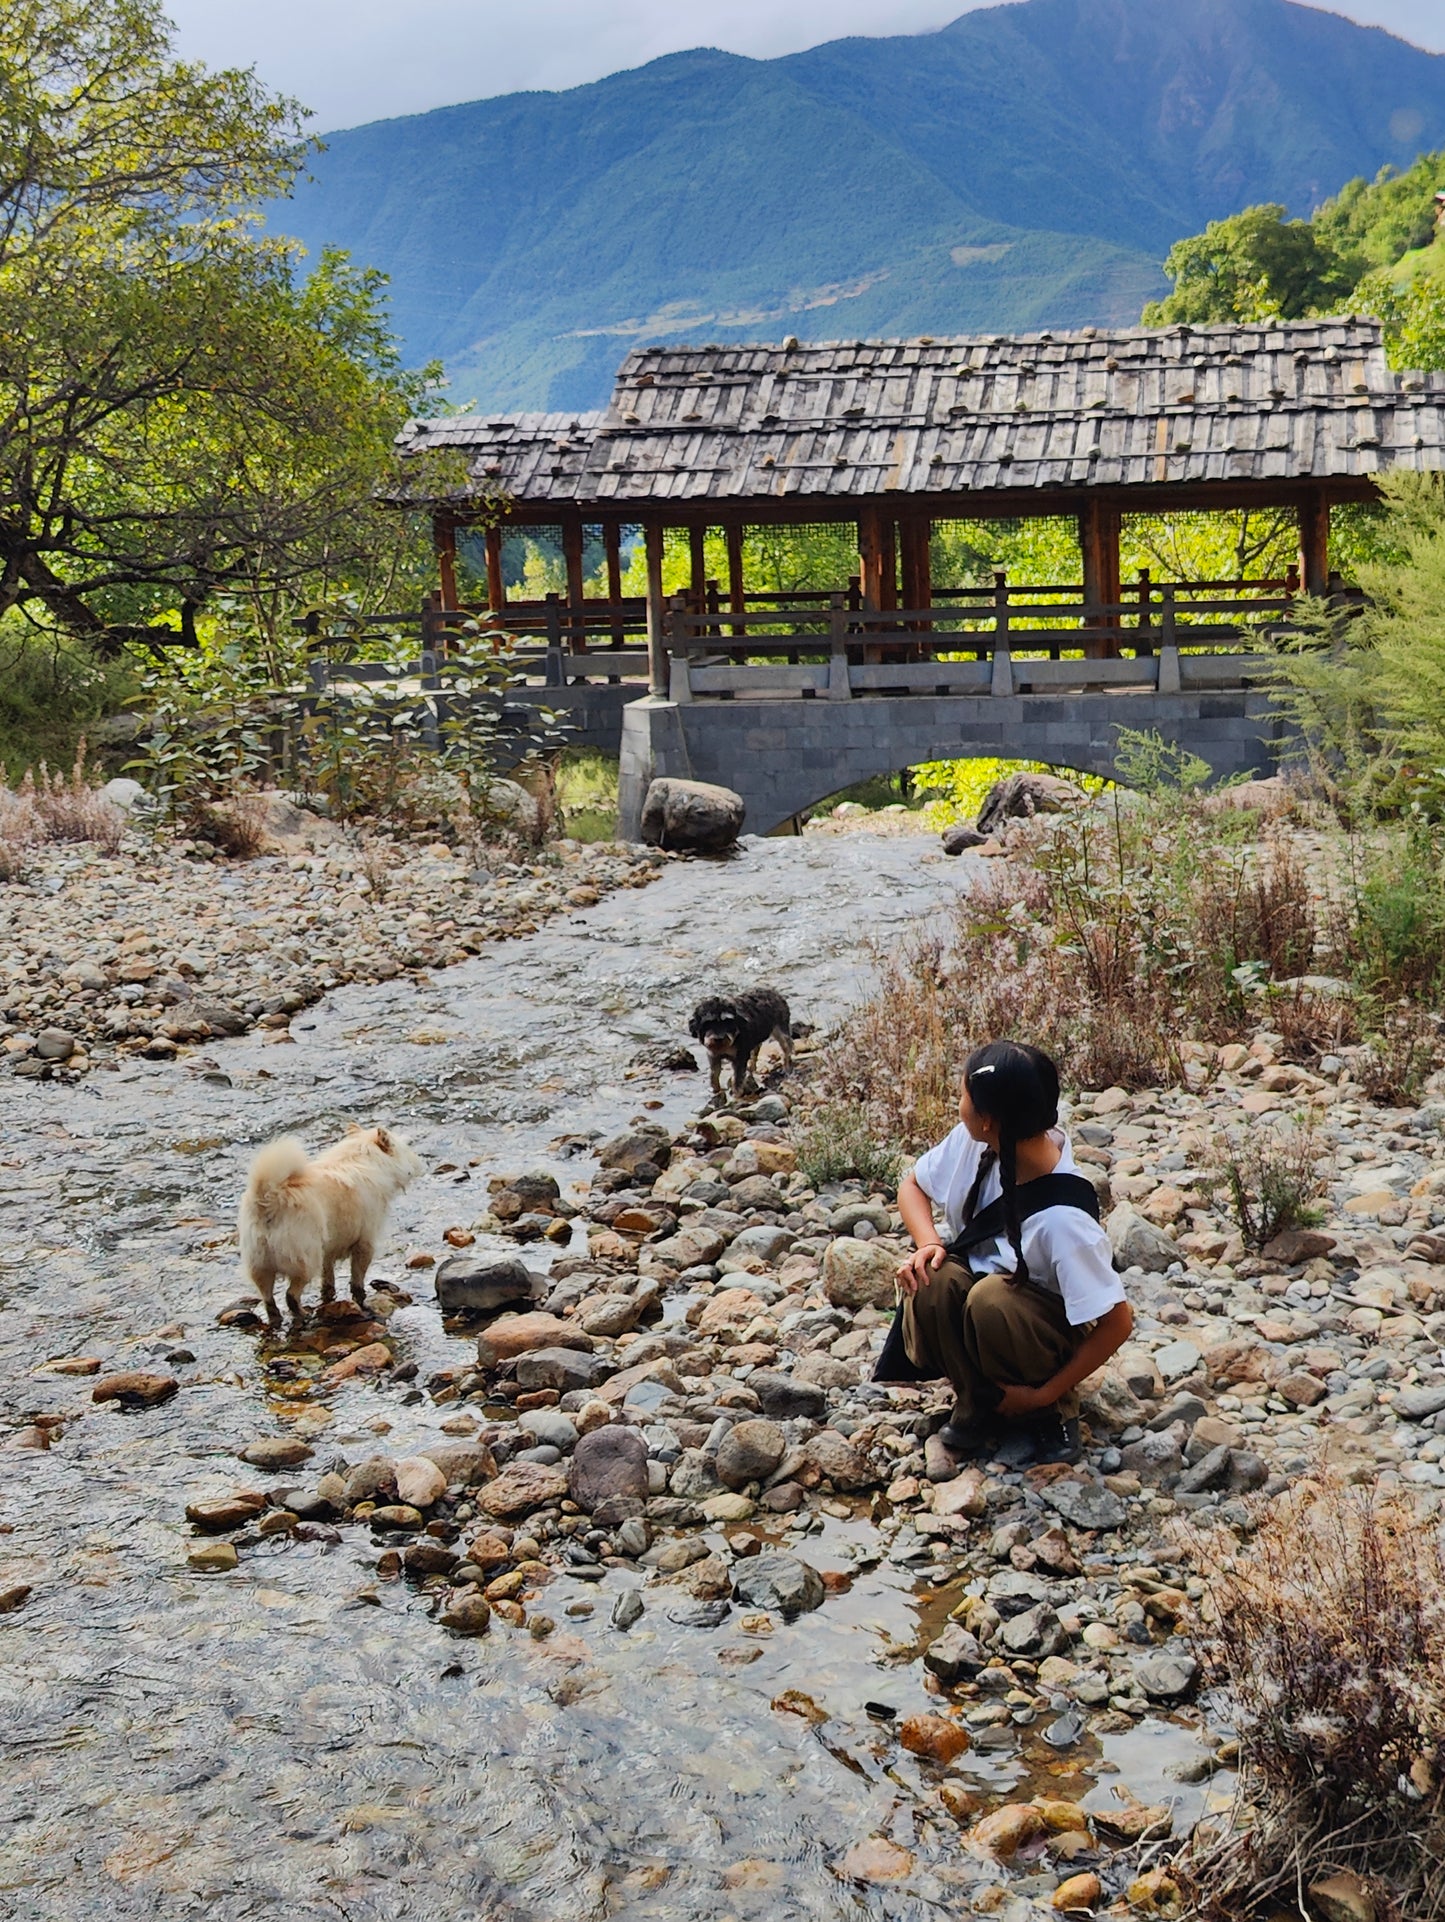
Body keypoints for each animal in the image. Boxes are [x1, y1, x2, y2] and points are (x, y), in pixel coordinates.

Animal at [240, 1122, 422, 1330]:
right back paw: (303, 1315)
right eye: (407, 1148)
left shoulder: (328, 1251)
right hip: (305, 1261)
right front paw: (362, 1302)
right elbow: (357, 1280)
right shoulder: (365, 1244)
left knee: (269, 1300)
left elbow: (328, 1279)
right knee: (291, 1296)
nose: (421, 1163)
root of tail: (268, 1198)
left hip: (261, 1267)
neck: (364, 1159)